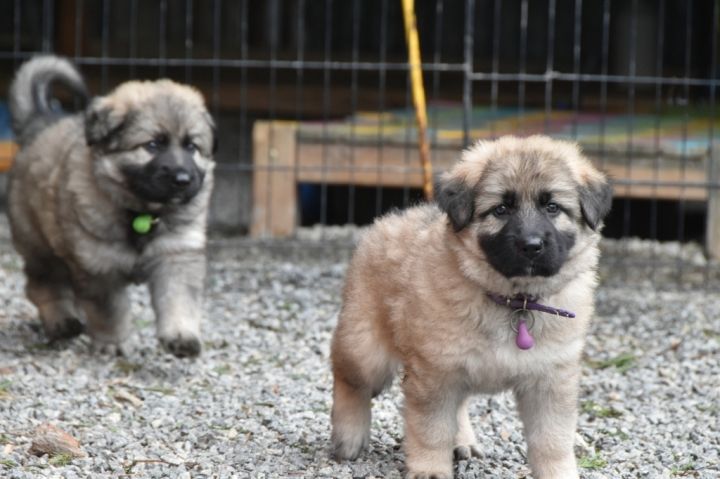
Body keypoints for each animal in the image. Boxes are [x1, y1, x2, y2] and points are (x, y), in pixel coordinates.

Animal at [7, 55, 216, 357]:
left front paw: (181, 336)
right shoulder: (99, 267)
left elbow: (179, 299)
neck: (142, 212)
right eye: (153, 145)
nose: (183, 180)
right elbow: (110, 310)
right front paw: (113, 343)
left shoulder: (176, 254)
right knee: (43, 285)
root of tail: (42, 124)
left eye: (192, 147)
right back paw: (62, 322)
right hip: (40, 243)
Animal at [330, 136, 612, 478]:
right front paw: (430, 470)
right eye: (501, 209)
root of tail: (391, 219)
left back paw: (461, 440)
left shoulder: (550, 380)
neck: (514, 301)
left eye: (552, 207)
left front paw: (558, 473)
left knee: (459, 404)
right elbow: (432, 429)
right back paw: (349, 436)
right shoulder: (434, 372)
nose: (532, 246)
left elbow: (552, 440)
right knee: (348, 379)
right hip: (365, 347)